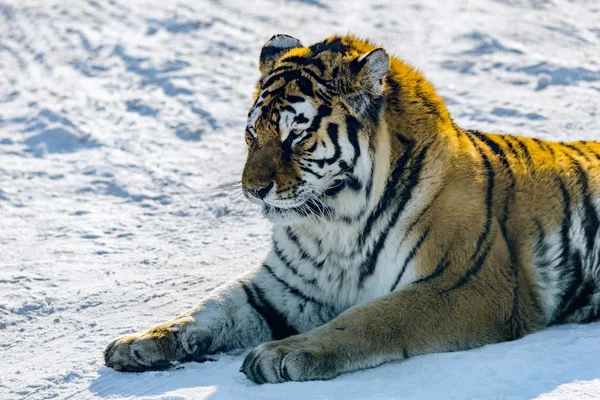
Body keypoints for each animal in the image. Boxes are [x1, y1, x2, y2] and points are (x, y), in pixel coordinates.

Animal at [105, 32, 600, 382]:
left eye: (296, 136)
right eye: (251, 134)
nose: (252, 189)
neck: (334, 224)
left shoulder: (465, 284)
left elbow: (370, 318)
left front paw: (284, 354)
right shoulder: (284, 288)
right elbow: (210, 309)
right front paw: (137, 342)